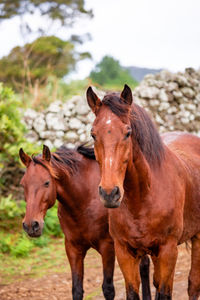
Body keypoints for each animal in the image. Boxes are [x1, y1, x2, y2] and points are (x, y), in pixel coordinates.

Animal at [19, 144, 151, 298]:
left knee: (144, 267)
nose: (30, 225)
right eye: (23, 184)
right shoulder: (73, 248)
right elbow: (76, 289)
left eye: (46, 183)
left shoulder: (107, 247)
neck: (84, 200)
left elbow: (108, 289)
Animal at [87, 85, 200, 300]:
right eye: (93, 134)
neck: (143, 197)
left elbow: (165, 293)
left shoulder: (167, 251)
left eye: (127, 132)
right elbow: (134, 292)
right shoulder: (124, 252)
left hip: (197, 237)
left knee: (193, 285)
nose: (109, 193)